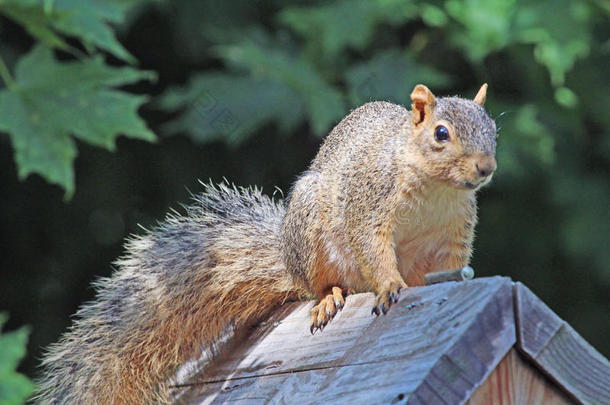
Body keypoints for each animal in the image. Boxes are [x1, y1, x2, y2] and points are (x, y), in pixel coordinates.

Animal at [35, 83, 494, 402]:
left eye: (494, 131)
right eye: (441, 133)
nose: (486, 168)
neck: (437, 190)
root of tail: (289, 264)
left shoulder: (454, 233)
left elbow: (454, 264)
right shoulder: (370, 206)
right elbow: (373, 249)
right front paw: (389, 286)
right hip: (311, 239)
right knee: (319, 286)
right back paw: (329, 298)